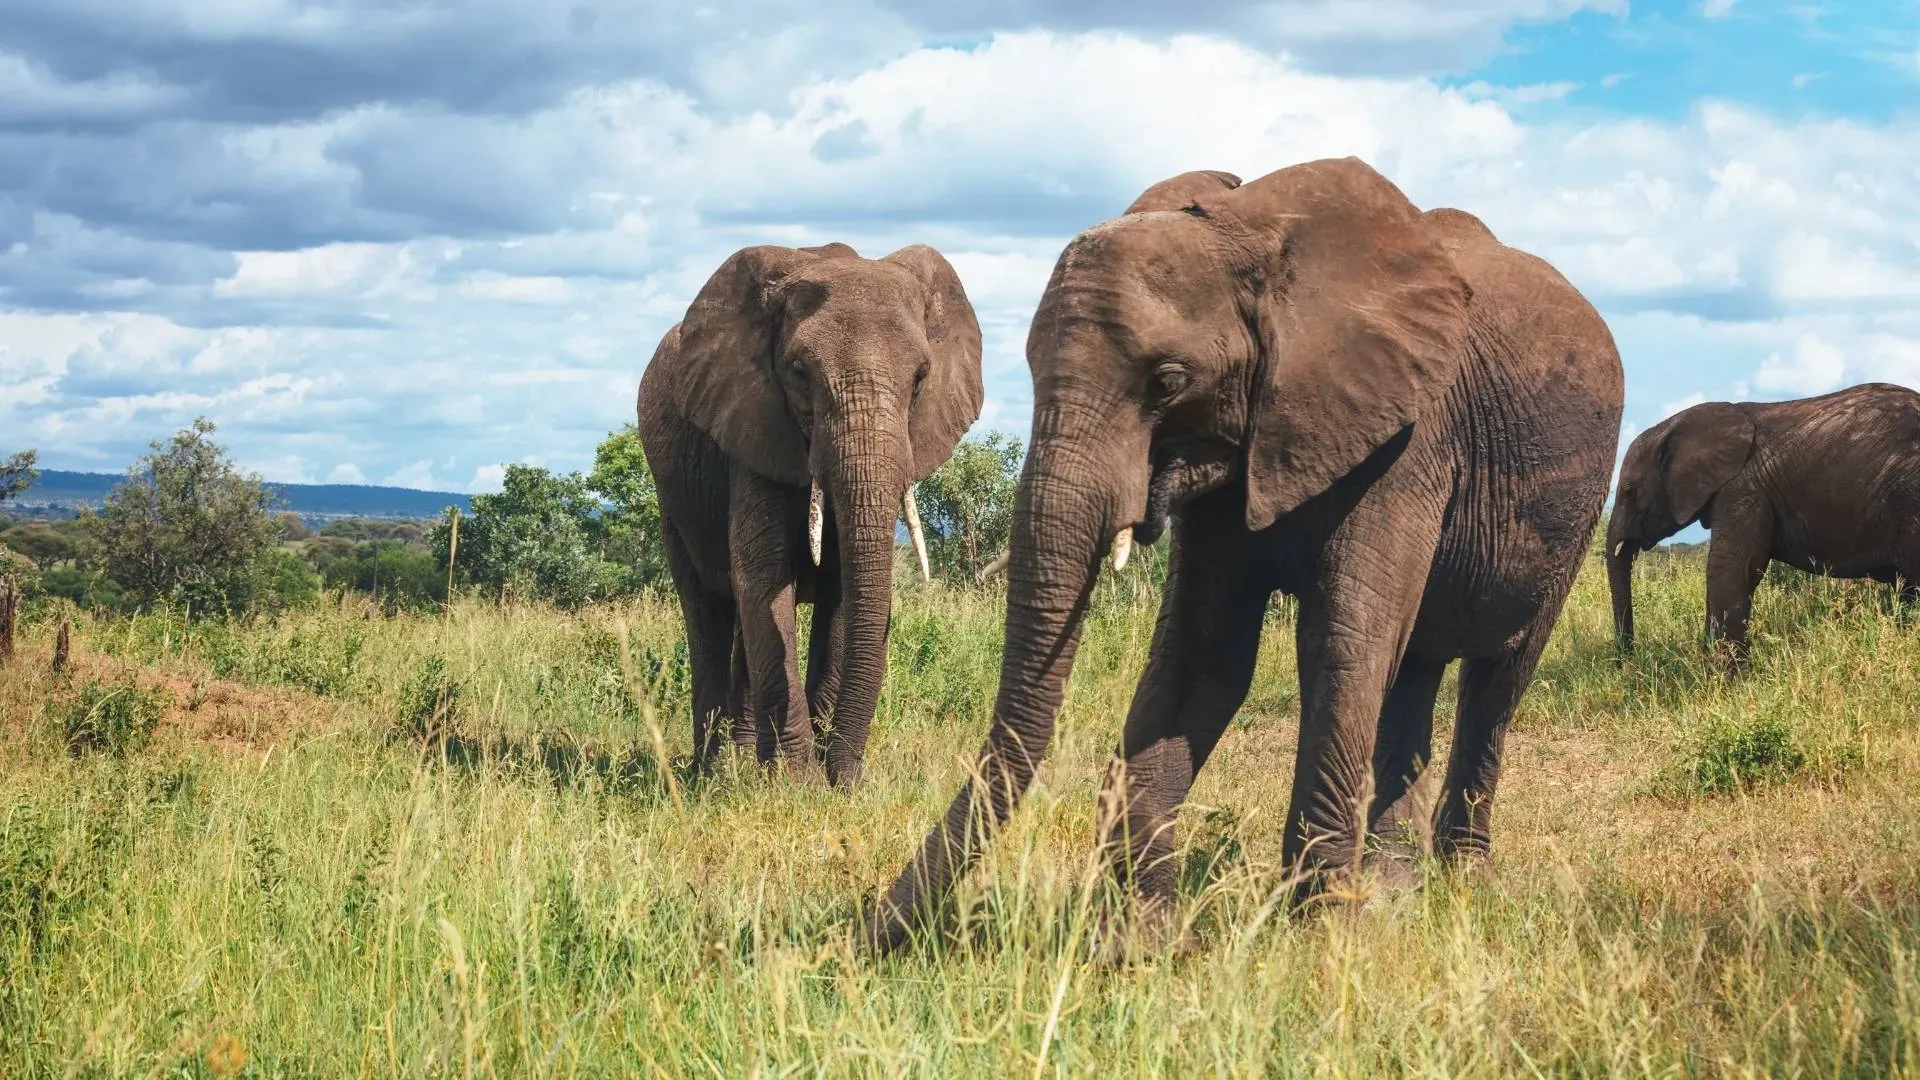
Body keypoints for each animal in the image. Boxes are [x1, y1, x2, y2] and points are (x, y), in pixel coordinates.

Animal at [636, 241, 983, 786]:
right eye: (799, 371)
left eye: (921, 377)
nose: (849, 778)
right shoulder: (749, 426)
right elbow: (763, 581)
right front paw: (797, 782)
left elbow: (841, 594)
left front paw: (820, 778)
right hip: (674, 498)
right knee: (708, 613)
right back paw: (711, 774)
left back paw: (743, 764)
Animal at [862, 157, 1624, 954]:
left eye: (1167, 381)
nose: (873, 932)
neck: (1256, 239)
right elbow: (1203, 660)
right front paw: (1141, 945)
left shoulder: (1412, 441)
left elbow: (1342, 646)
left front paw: (1318, 938)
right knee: (1414, 670)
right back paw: (1394, 892)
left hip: (1575, 511)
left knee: (1496, 680)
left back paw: (1458, 882)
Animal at [1606, 382, 1920, 665]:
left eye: (1630, 492)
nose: (1627, 659)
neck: (1676, 425)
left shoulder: (1743, 489)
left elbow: (1729, 567)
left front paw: (1723, 679)